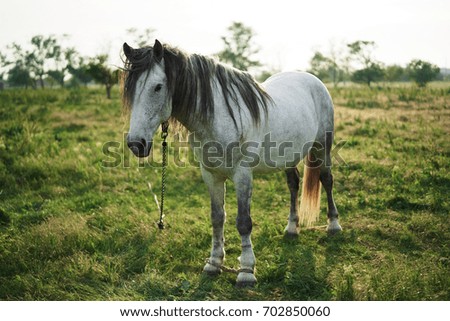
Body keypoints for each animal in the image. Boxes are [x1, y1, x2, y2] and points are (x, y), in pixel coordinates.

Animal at [121, 38, 342, 286]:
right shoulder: (211, 175)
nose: (136, 144)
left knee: (326, 179)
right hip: (290, 155)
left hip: (323, 146)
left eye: (158, 87)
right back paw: (292, 228)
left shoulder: (242, 174)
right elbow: (217, 218)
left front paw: (246, 271)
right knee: (293, 184)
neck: (217, 117)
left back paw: (334, 225)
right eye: (130, 88)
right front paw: (214, 263)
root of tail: (312, 79)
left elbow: (243, 221)